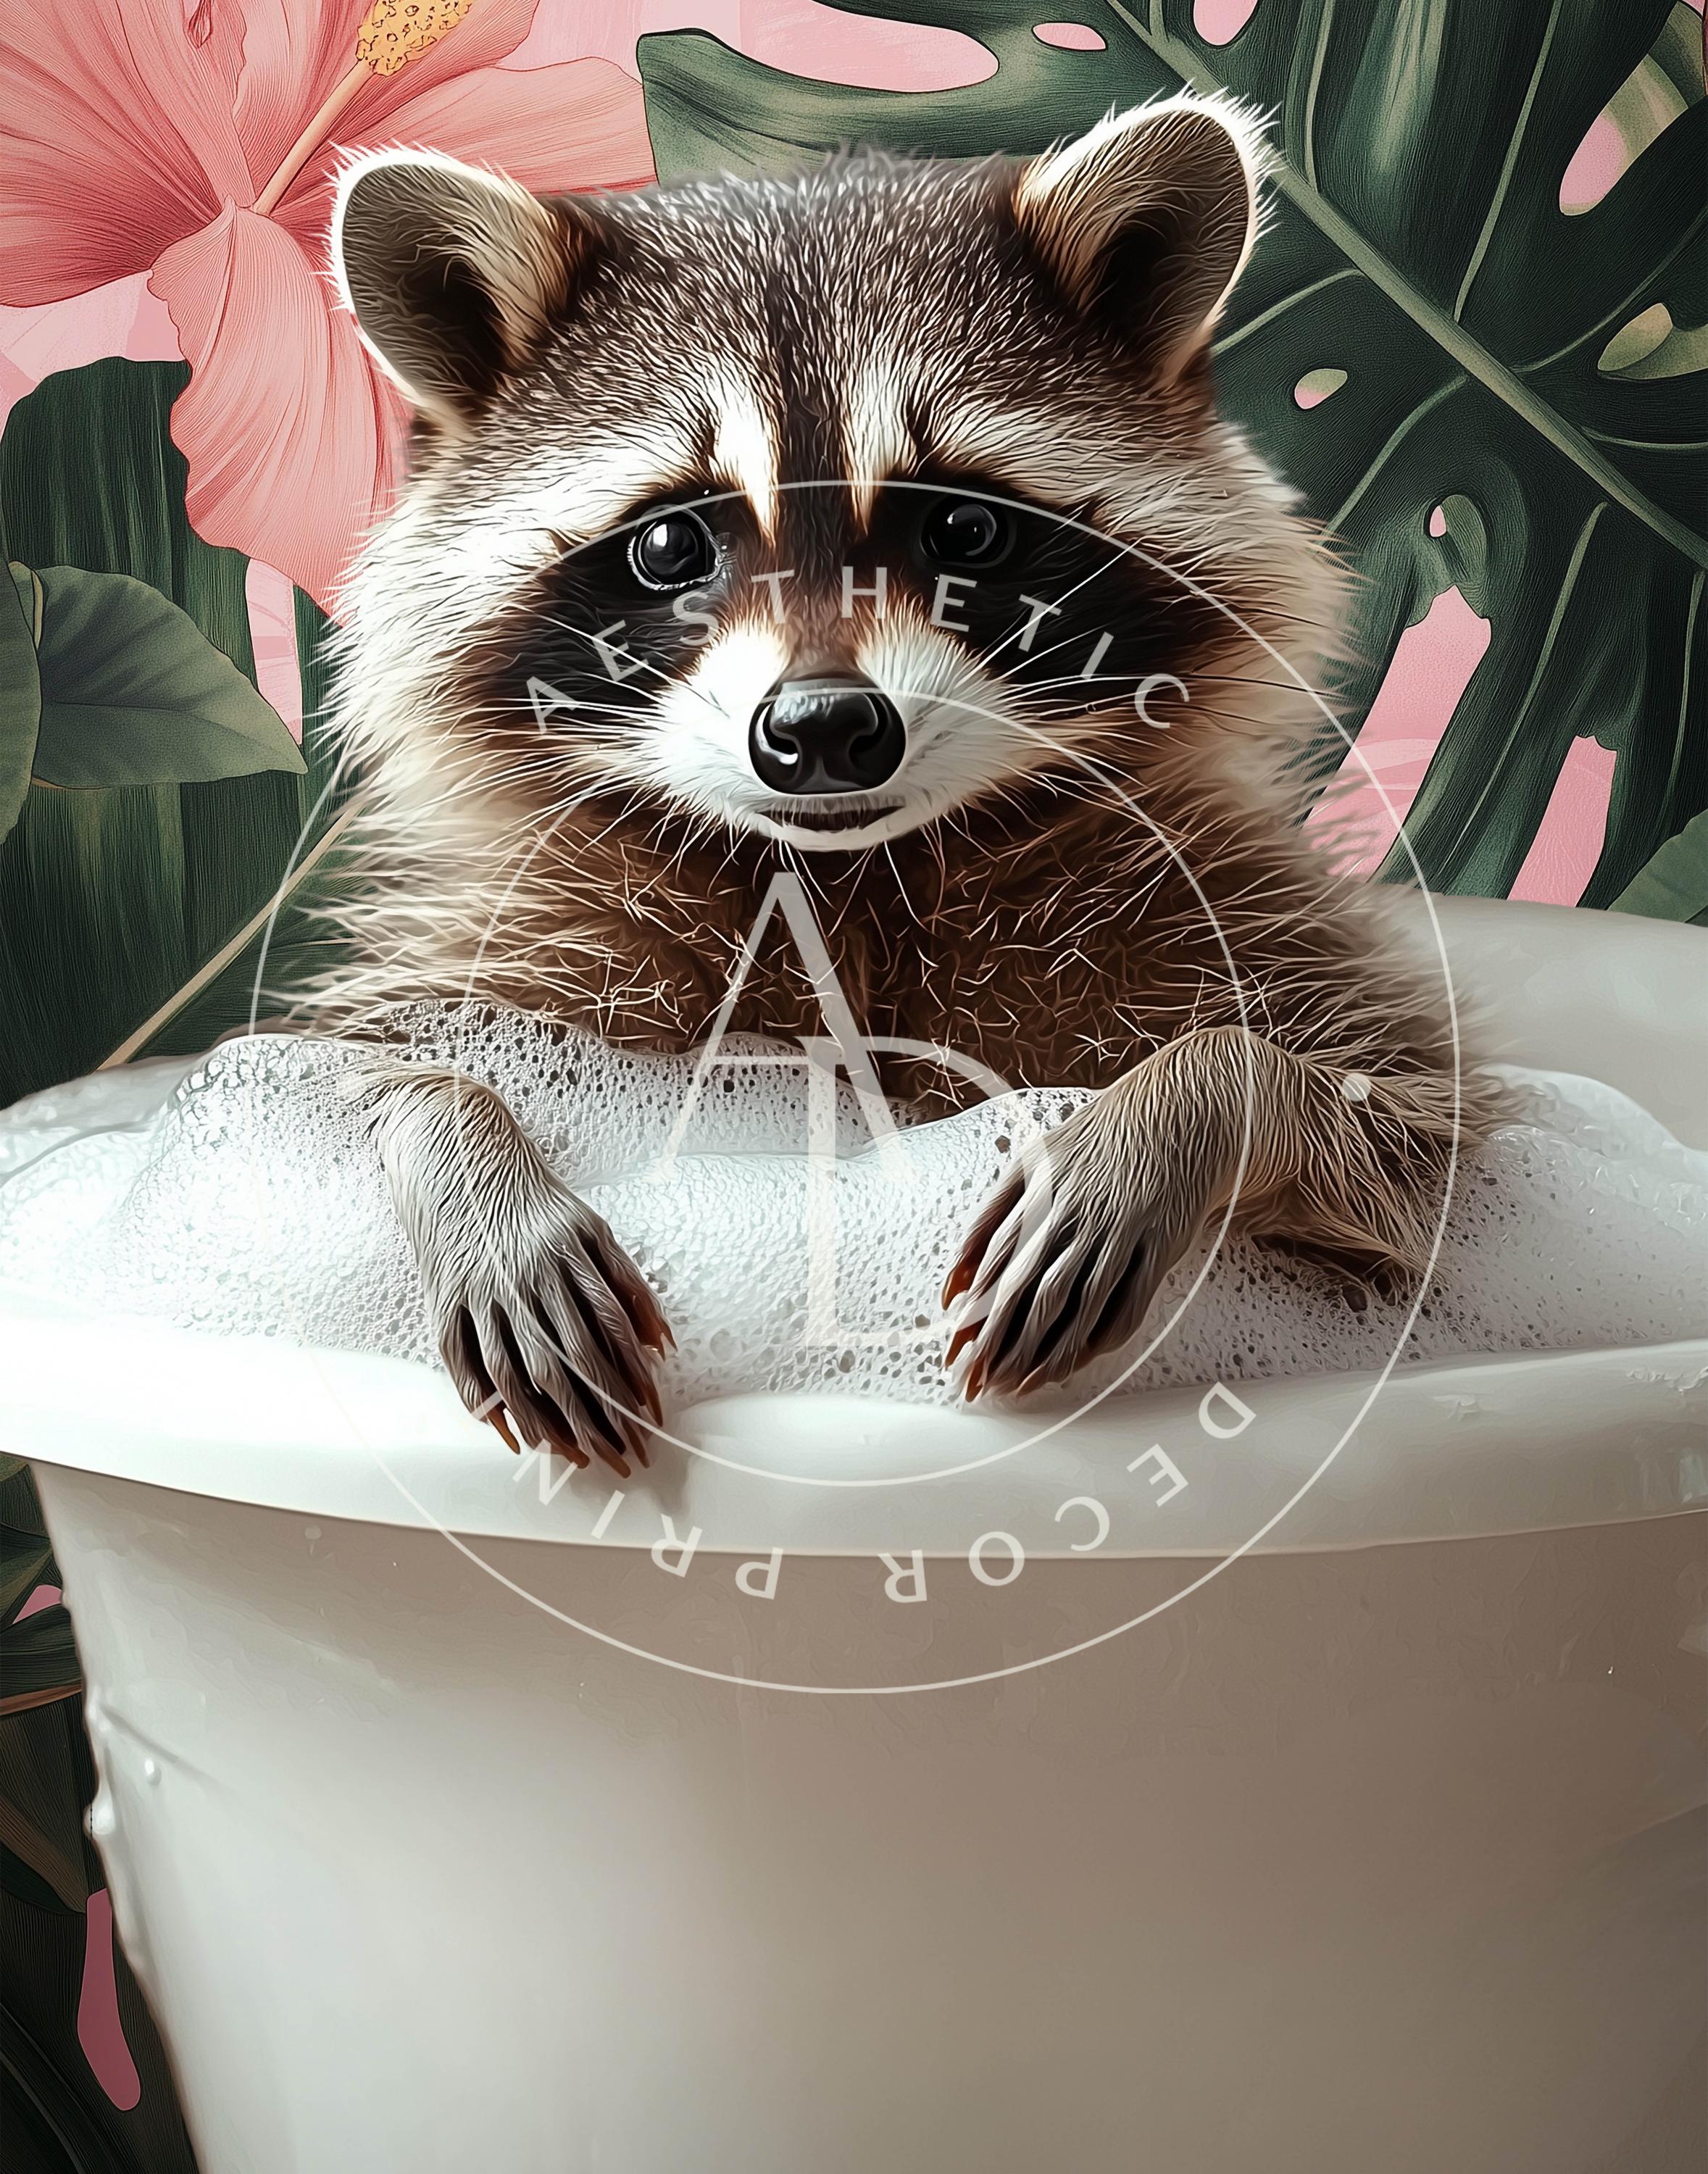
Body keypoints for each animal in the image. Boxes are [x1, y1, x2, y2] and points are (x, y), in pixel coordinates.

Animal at [319, 96, 1504, 1475]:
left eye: (964, 531)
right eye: (671, 542)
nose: (824, 729)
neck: (852, 873)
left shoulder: (1236, 914)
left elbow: (1419, 1159)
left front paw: (1183, 1105)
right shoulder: (532, 940)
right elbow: (338, 1079)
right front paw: (461, 1147)